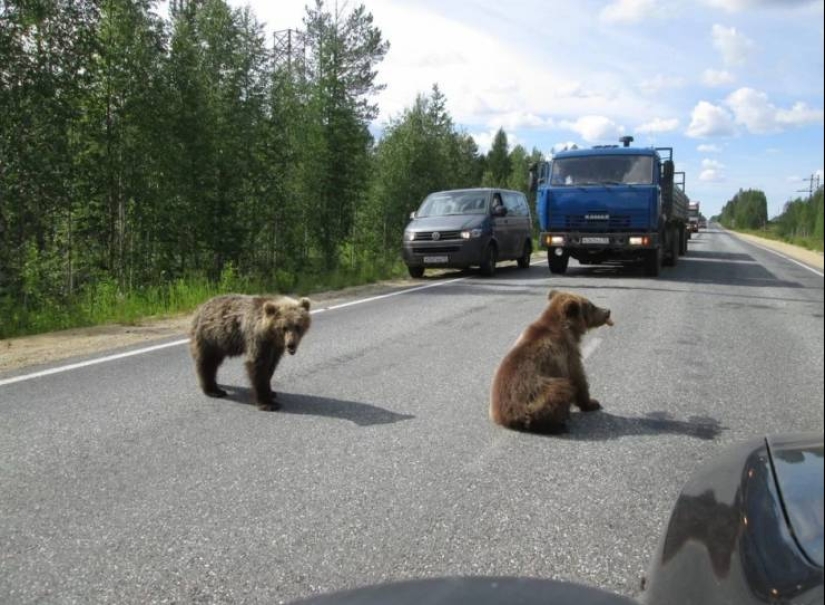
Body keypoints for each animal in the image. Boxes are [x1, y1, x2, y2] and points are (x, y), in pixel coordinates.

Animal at [490, 290, 612, 432]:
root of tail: (503, 418)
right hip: (534, 395)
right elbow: (578, 376)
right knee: (560, 389)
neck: (568, 329)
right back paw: (558, 423)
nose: (607, 311)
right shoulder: (568, 353)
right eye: (591, 306)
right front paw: (592, 403)